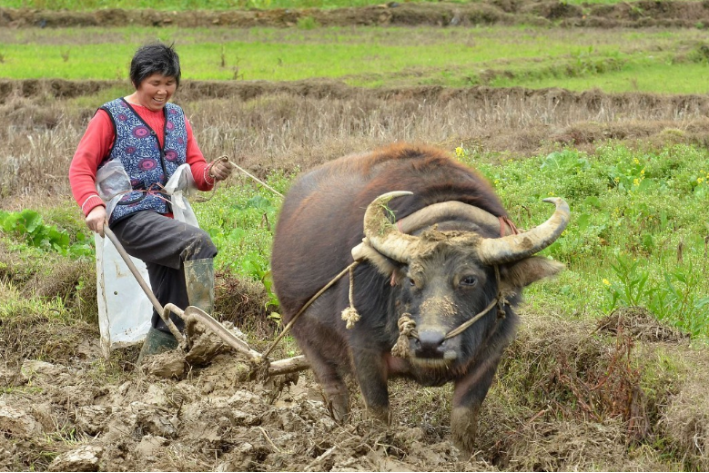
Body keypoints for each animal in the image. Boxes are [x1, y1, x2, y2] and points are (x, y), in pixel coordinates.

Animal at [268, 141, 568, 450]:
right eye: (412, 278)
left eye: (469, 279)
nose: (429, 344)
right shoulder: (363, 349)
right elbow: (378, 409)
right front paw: (381, 443)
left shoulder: (491, 352)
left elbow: (465, 416)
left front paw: (460, 453)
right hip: (301, 331)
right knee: (332, 385)